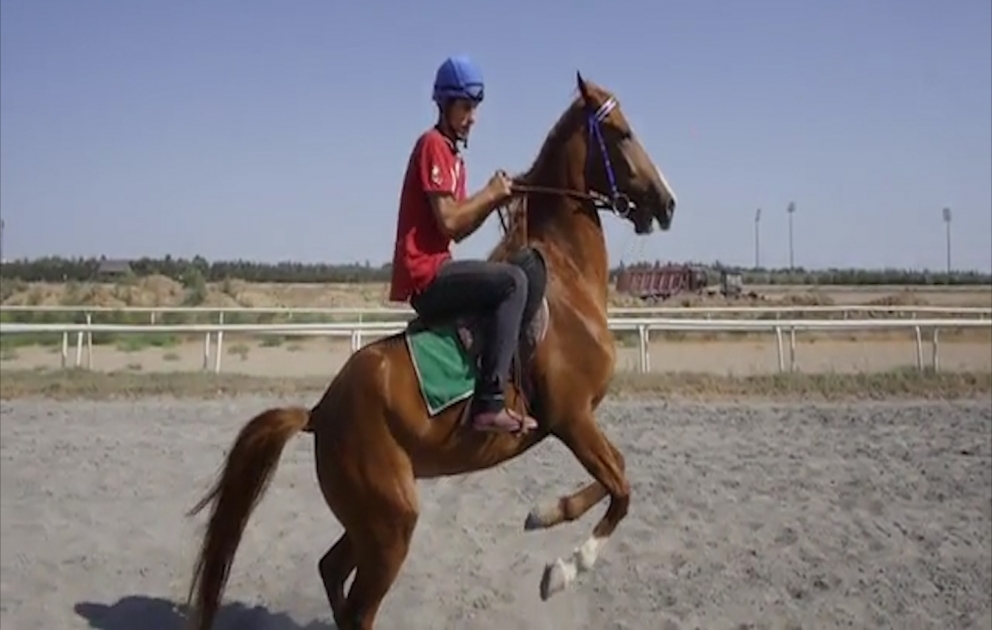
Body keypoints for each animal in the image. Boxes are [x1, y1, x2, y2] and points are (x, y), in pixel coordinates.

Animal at [184, 71, 678, 630]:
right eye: (621, 133)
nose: (667, 203)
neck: (567, 282)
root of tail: (319, 412)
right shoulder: (571, 418)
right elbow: (620, 487)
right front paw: (565, 570)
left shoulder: (576, 422)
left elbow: (616, 475)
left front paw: (543, 515)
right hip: (391, 525)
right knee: (358, 605)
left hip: (370, 523)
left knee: (332, 572)